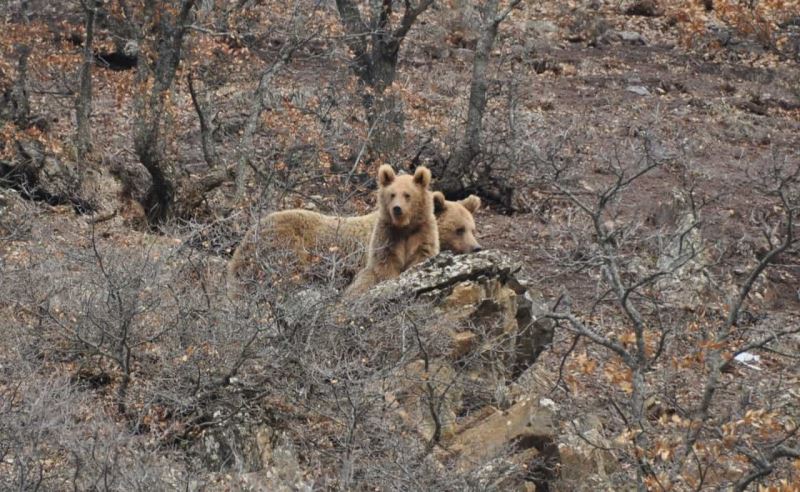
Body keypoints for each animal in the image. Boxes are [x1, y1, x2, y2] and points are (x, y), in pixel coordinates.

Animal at [346, 164, 440, 296]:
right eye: (392, 194)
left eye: (407, 195)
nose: (397, 208)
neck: (404, 226)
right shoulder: (387, 234)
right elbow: (385, 261)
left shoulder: (422, 232)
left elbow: (422, 254)